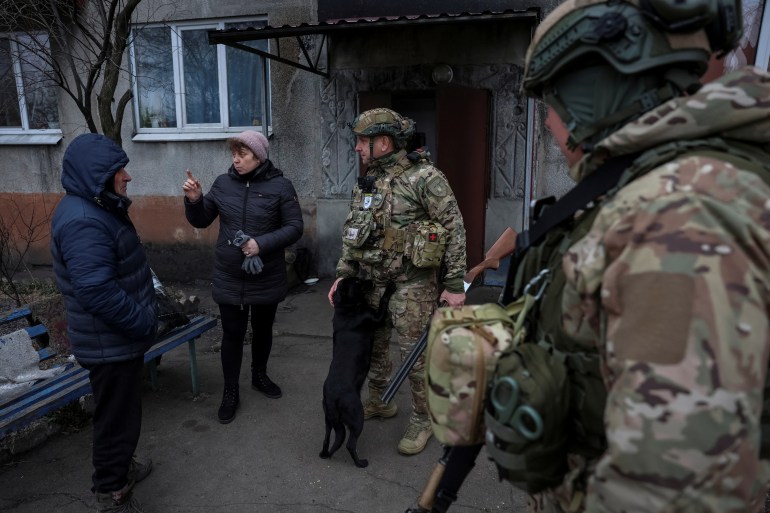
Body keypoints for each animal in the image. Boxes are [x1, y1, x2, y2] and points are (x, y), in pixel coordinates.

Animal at [316, 278, 392, 466]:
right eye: (357, 282)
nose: (371, 280)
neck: (347, 308)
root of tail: (332, 397)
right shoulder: (376, 318)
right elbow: (383, 301)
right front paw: (390, 287)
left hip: (329, 419)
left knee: (327, 439)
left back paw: (325, 453)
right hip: (357, 416)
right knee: (350, 443)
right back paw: (360, 463)